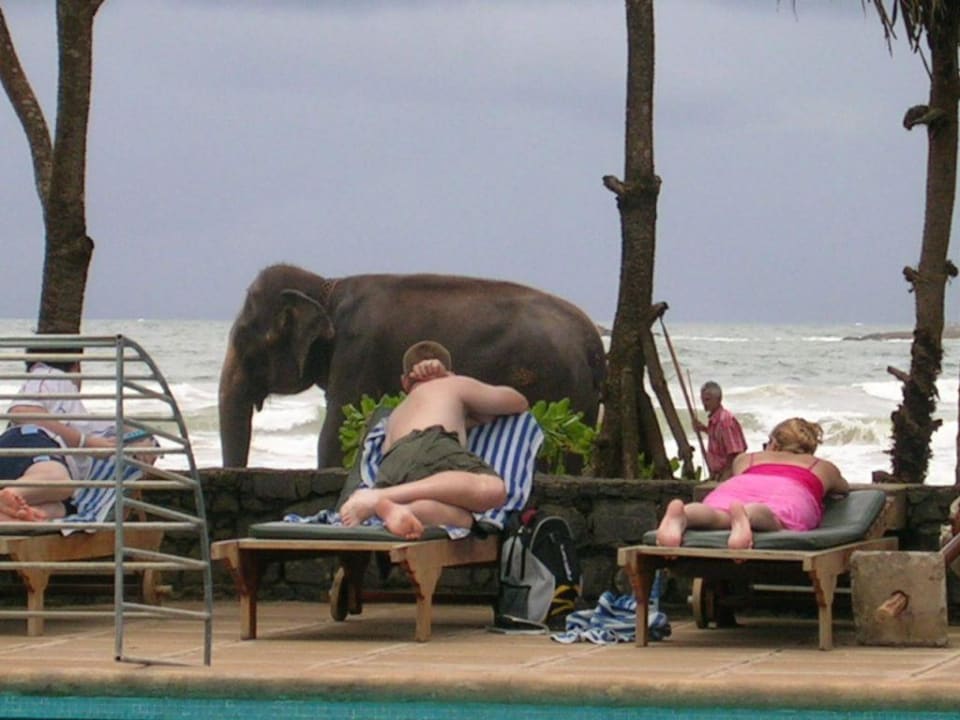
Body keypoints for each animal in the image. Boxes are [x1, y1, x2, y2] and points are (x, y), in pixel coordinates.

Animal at [219, 264, 606, 468]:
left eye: (246, 342)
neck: (325, 288)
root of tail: (592, 338)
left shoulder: (357, 352)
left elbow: (334, 433)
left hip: (555, 390)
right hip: (581, 406)